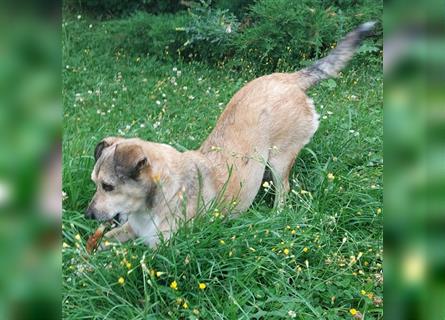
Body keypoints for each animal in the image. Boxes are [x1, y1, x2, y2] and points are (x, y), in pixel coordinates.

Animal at [85, 21, 372, 248]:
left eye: (108, 186)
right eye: (94, 183)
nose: (87, 215)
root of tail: (288, 78)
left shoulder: (163, 249)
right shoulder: (129, 229)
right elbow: (100, 245)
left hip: (281, 160)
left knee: (284, 190)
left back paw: (276, 215)